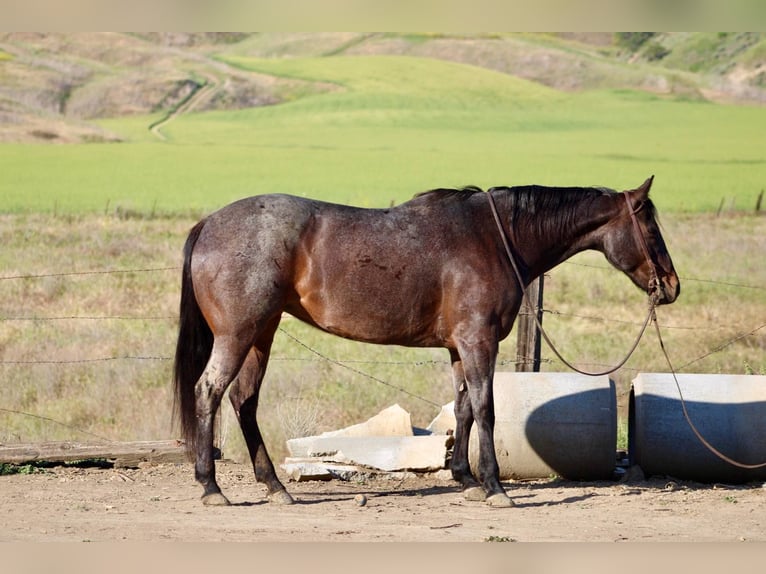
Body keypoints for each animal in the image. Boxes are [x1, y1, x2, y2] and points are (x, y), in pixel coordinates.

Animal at [173, 175, 679, 508]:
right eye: (651, 228)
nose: (672, 286)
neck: (494, 239)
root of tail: (209, 224)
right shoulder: (478, 341)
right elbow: (486, 408)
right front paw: (494, 487)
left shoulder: (460, 347)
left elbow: (465, 409)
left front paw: (465, 478)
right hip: (238, 334)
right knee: (209, 392)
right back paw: (211, 486)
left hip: (263, 333)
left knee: (244, 400)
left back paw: (274, 486)